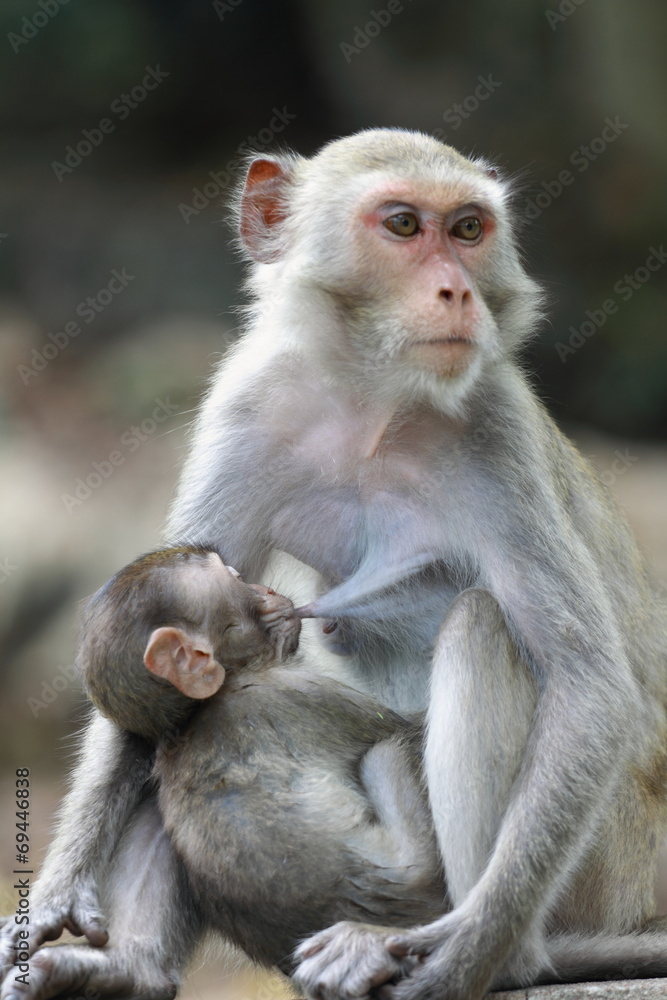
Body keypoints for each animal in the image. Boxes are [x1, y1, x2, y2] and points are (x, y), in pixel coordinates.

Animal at [0, 131, 664, 1000]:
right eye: (403, 223)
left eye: (469, 229)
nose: (457, 290)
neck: (371, 400)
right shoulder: (249, 402)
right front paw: (58, 889)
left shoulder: (498, 425)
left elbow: (585, 680)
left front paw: (469, 944)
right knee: (175, 728)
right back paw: (132, 971)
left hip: (605, 867)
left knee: (481, 627)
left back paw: (466, 951)